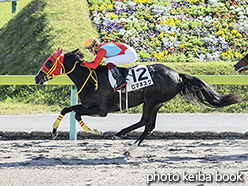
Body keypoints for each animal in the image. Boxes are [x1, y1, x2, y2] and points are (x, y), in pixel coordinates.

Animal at [34, 47, 240, 154]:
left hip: (151, 100)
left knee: (145, 122)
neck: (90, 78)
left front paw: (95, 130)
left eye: (49, 62)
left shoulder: (101, 110)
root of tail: (177, 75)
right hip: (157, 103)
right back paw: (127, 144)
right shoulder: (87, 105)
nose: (36, 78)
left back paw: (122, 137)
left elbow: (76, 114)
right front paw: (54, 132)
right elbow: (66, 109)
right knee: (148, 125)